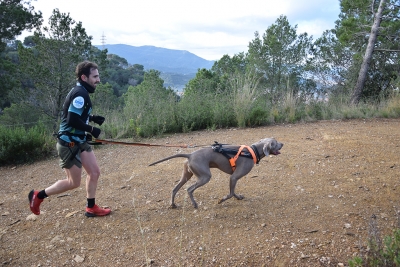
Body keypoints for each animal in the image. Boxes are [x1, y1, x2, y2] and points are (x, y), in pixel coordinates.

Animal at [148, 138, 282, 209]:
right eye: (275, 142)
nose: (283, 144)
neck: (252, 151)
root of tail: (190, 154)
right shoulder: (234, 177)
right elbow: (230, 194)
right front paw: (221, 200)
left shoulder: (233, 178)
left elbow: (233, 192)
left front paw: (238, 197)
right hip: (205, 177)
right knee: (189, 189)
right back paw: (195, 204)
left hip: (187, 175)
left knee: (175, 189)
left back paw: (173, 204)